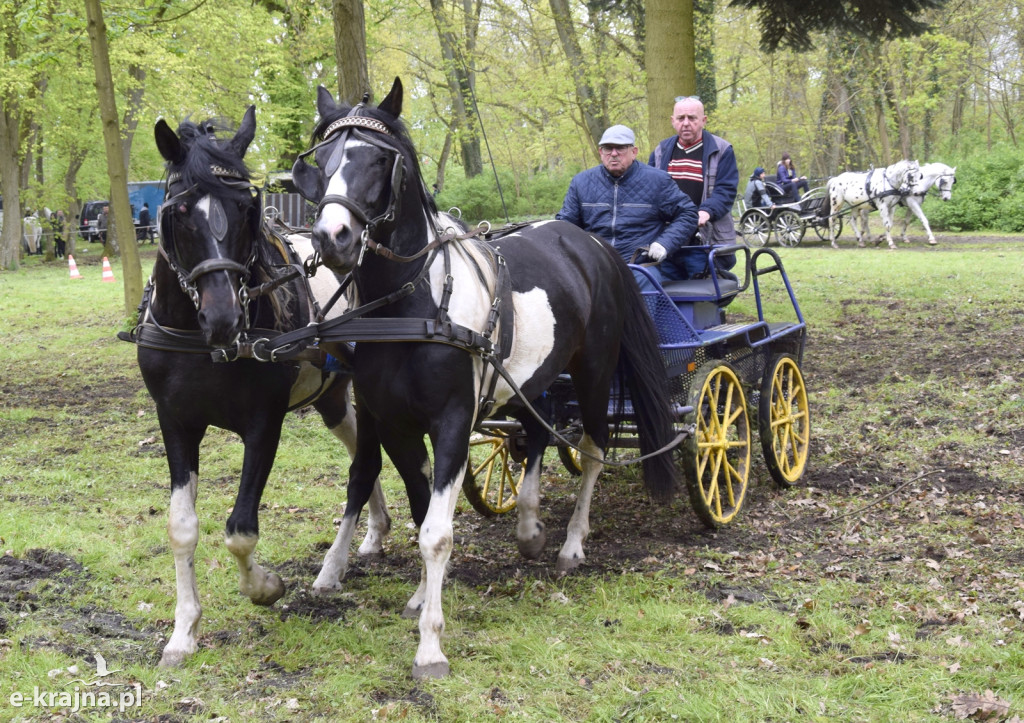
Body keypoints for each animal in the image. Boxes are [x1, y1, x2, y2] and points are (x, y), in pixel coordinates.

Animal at [131, 107, 391, 663]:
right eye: (178, 212)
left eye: (246, 208)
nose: (224, 317)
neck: (204, 343)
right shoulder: (175, 421)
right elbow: (182, 527)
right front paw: (184, 629)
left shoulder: (263, 423)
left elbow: (240, 530)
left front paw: (265, 587)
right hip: (331, 399)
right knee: (363, 452)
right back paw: (375, 530)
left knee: (366, 461)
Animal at [294, 78, 679, 675]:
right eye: (321, 160)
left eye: (380, 159)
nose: (331, 236)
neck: (411, 303)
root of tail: (590, 243)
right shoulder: (394, 422)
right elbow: (423, 508)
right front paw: (421, 596)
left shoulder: (453, 420)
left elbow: (436, 532)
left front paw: (430, 644)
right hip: (533, 381)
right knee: (539, 434)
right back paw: (528, 528)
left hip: (593, 374)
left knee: (593, 449)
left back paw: (571, 543)